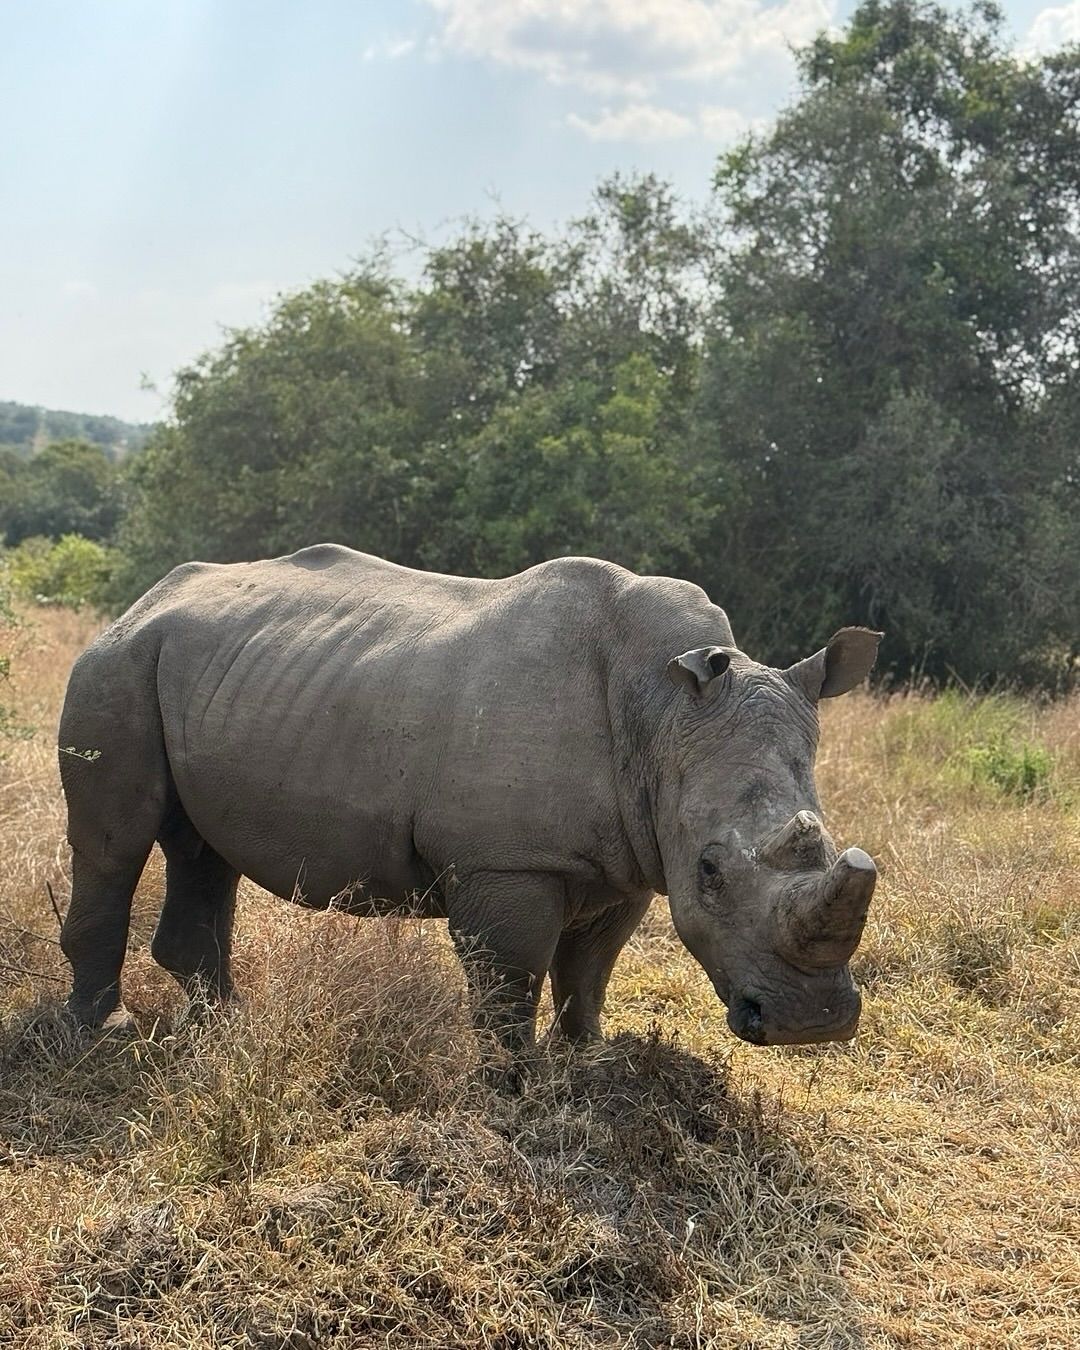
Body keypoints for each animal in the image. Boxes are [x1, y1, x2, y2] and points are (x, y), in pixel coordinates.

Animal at [58, 546, 881, 1055]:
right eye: (711, 872)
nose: (810, 1023)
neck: (663, 709)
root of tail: (145, 598)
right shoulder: (507, 861)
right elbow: (509, 977)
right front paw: (511, 1085)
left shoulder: (634, 855)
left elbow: (590, 968)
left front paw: (588, 1058)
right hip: (116, 663)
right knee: (115, 844)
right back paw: (108, 1034)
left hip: (212, 673)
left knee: (204, 849)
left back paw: (225, 1027)